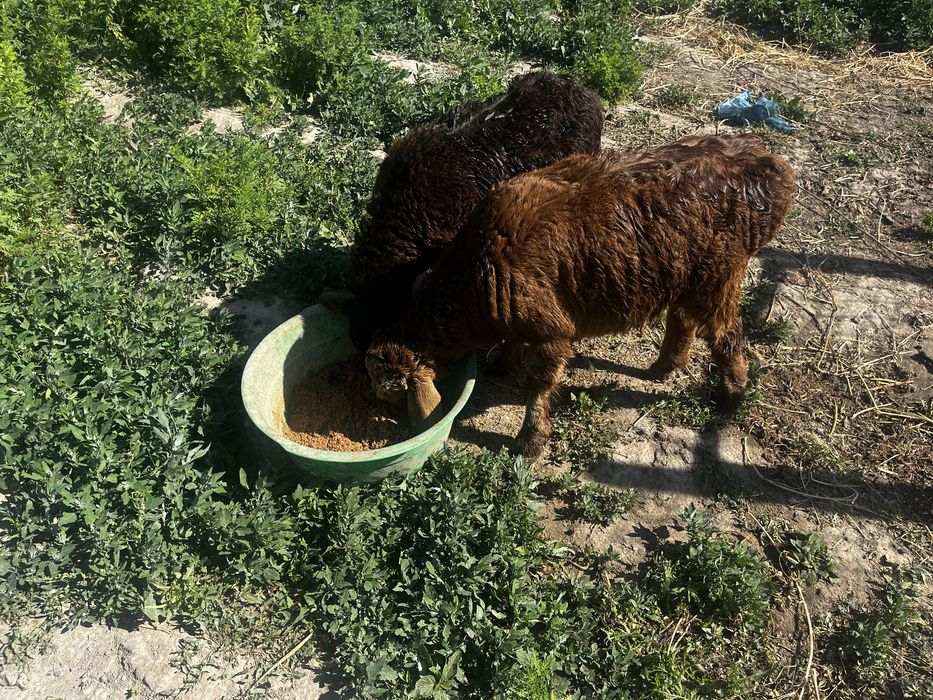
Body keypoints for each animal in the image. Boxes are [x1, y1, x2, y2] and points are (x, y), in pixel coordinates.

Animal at [365, 134, 796, 458]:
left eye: (388, 393)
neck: (475, 275)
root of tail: (771, 167)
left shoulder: (552, 330)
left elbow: (540, 384)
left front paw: (529, 443)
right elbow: (513, 342)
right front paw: (500, 366)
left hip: (719, 275)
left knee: (725, 335)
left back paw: (731, 397)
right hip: (685, 275)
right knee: (683, 318)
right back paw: (662, 369)